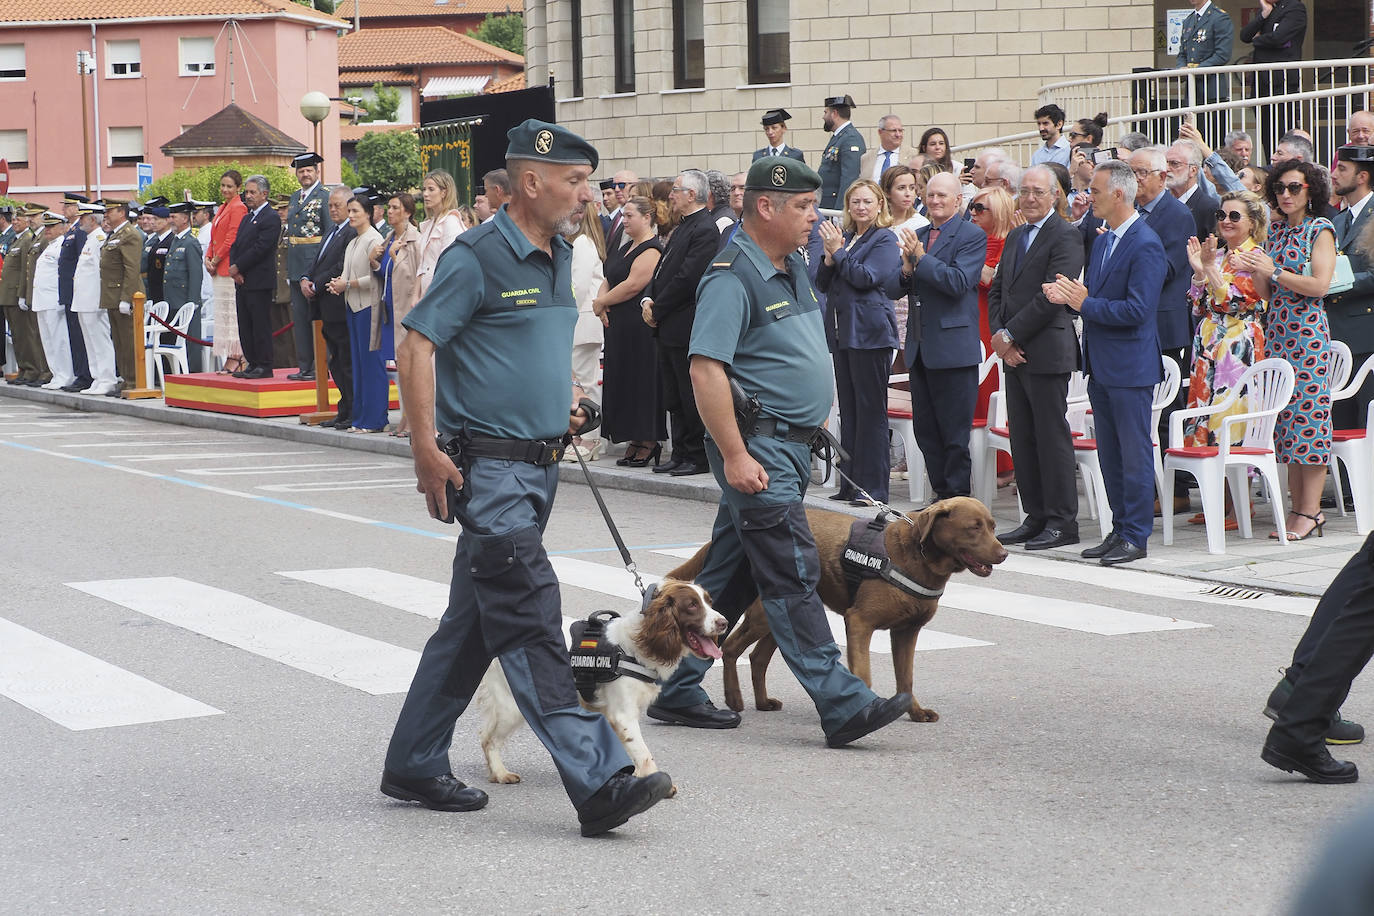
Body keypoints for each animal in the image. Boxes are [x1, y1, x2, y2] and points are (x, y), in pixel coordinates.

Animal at [475, 585, 730, 791]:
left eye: (709, 601)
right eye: (692, 605)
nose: (724, 623)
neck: (636, 646)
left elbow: (634, 750)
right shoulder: (623, 714)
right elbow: (644, 753)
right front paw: (659, 783)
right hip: (510, 706)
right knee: (489, 739)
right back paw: (500, 773)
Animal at [667, 497, 1011, 719]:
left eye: (993, 526)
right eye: (973, 527)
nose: (1004, 553)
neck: (918, 557)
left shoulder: (907, 631)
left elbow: (906, 677)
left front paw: (914, 711)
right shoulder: (859, 621)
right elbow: (864, 673)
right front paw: (867, 708)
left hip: (784, 613)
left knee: (757, 657)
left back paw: (762, 702)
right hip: (765, 612)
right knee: (733, 648)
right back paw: (734, 700)